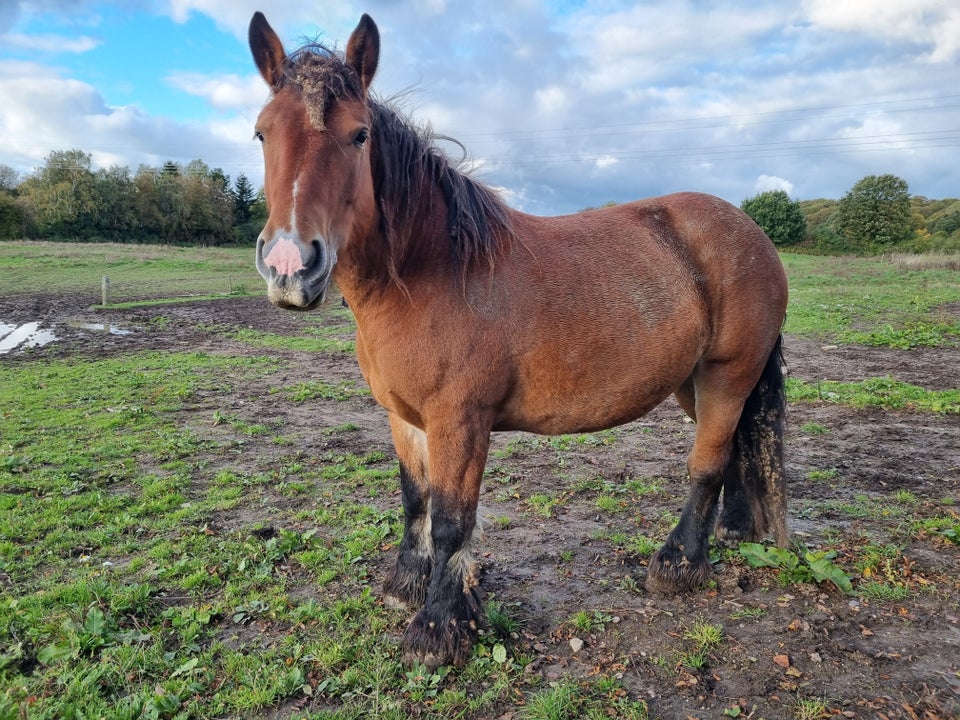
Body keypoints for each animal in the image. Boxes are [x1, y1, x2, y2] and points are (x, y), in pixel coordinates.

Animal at [248, 11, 788, 672]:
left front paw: (438, 627)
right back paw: (729, 535)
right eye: (262, 134)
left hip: (726, 375)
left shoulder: (461, 421)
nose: (289, 266)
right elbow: (414, 499)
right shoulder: (405, 417)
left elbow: (452, 521)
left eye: (359, 135)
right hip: (693, 384)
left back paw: (677, 565)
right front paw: (406, 584)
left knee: (707, 465)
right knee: (732, 449)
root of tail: (749, 229)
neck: (430, 272)